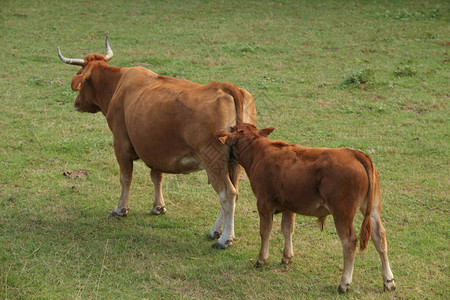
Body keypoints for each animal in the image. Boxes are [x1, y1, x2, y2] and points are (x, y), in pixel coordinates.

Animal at [59, 37, 256, 248]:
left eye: (79, 77)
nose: (76, 103)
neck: (117, 84)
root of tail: (224, 86)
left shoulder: (121, 145)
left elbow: (125, 178)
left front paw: (121, 208)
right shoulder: (156, 149)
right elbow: (157, 177)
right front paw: (158, 207)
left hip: (213, 162)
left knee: (227, 194)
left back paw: (224, 238)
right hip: (234, 163)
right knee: (234, 192)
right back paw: (217, 231)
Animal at [216, 123, 396, 292]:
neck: (259, 152)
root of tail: (355, 154)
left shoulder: (264, 204)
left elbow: (265, 232)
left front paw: (261, 259)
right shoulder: (288, 205)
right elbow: (287, 229)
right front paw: (286, 257)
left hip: (342, 213)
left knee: (350, 242)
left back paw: (344, 283)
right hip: (373, 210)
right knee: (380, 237)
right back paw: (389, 281)